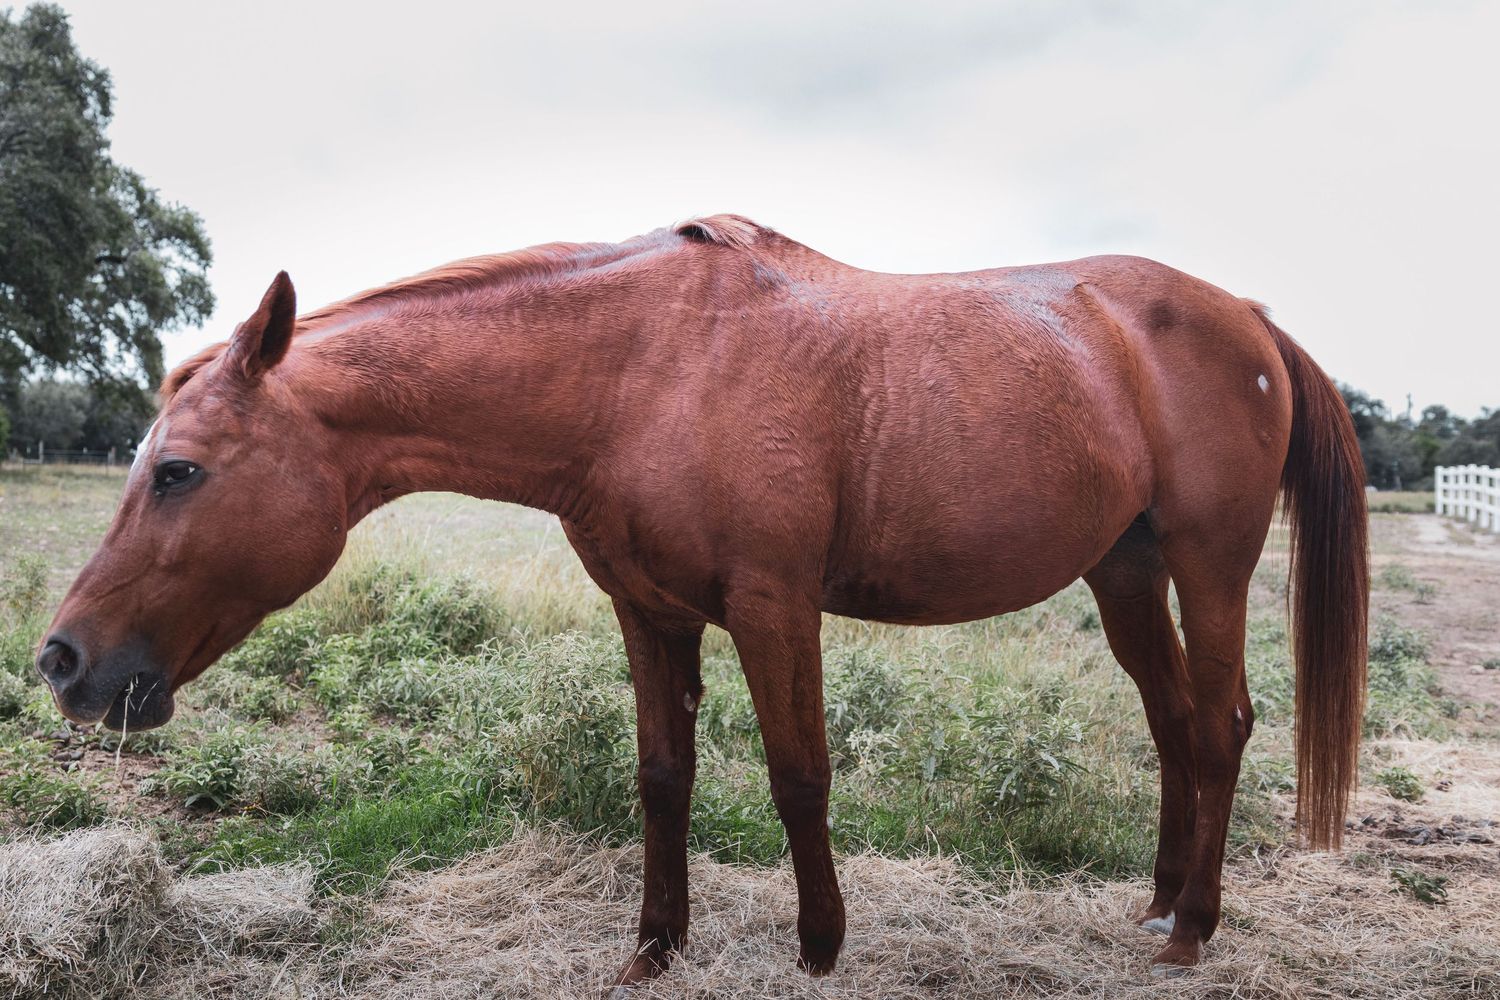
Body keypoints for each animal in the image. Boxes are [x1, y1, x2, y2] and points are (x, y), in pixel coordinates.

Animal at [36, 214, 1367, 987]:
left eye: (179, 469)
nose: (63, 661)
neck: (643, 367)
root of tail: (1251, 322)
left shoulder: (775, 608)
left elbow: (798, 776)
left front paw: (821, 947)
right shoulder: (651, 611)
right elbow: (662, 776)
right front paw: (652, 946)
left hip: (1209, 564)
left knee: (1223, 726)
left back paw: (1194, 928)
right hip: (1126, 569)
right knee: (1175, 727)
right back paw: (1156, 905)